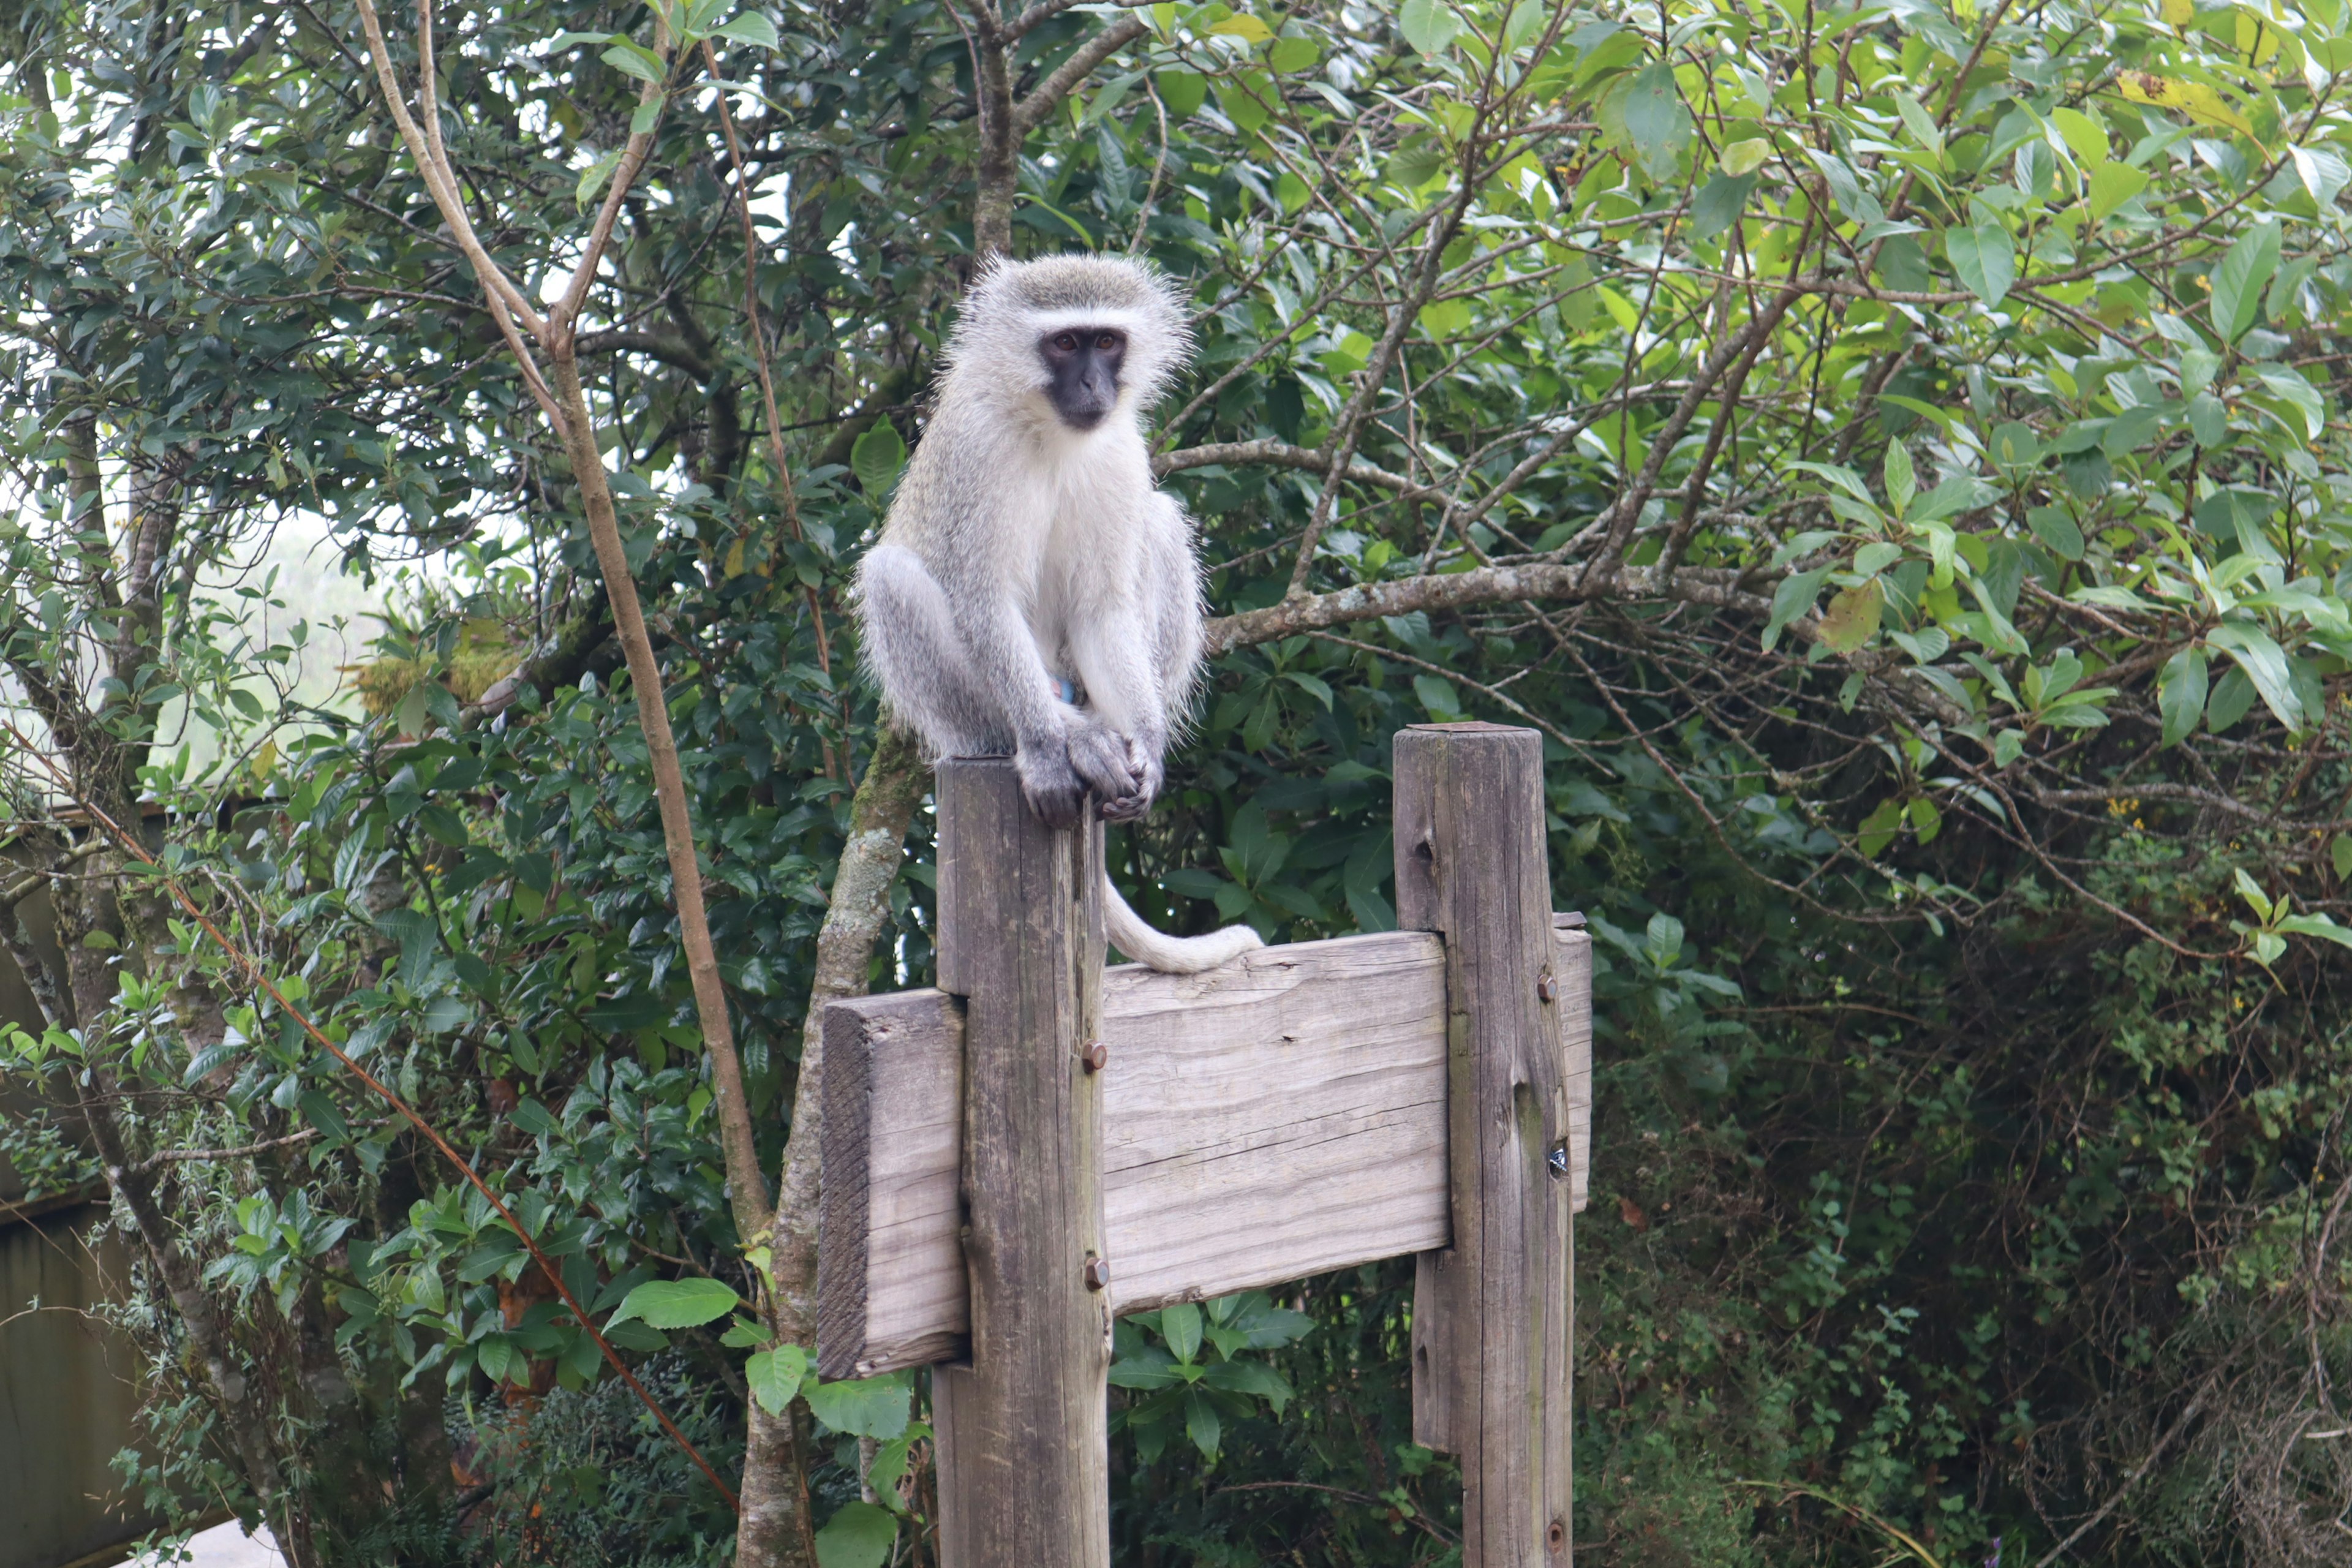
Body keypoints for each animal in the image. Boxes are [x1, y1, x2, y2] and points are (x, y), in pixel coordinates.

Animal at [856, 255, 1261, 968]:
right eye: (1066, 343)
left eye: (1107, 342)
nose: (1095, 385)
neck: (1047, 431)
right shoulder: (978, 448)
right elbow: (983, 601)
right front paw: (1048, 750)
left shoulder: (1122, 451)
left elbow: (1102, 610)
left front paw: (1148, 746)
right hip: (982, 712)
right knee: (891, 577)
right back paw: (1065, 736)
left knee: (1159, 520)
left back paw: (1103, 729)